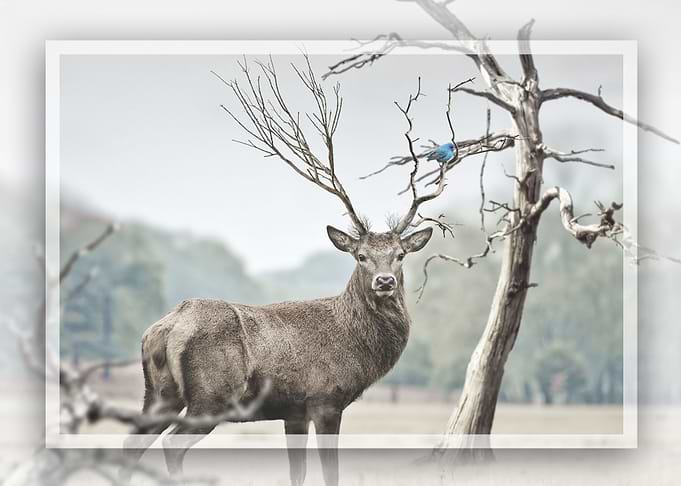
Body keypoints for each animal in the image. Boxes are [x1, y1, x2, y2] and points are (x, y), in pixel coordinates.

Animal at [120, 56, 451, 486]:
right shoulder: (326, 397)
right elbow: (330, 472)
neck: (356, 347)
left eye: (399, 255)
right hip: (212, 394)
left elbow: (299, 471)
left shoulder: (293, 410)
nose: (384, 281)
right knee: (172, 444)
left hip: (159, 392)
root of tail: (166, 326)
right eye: (361, 256)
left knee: (132, 442)